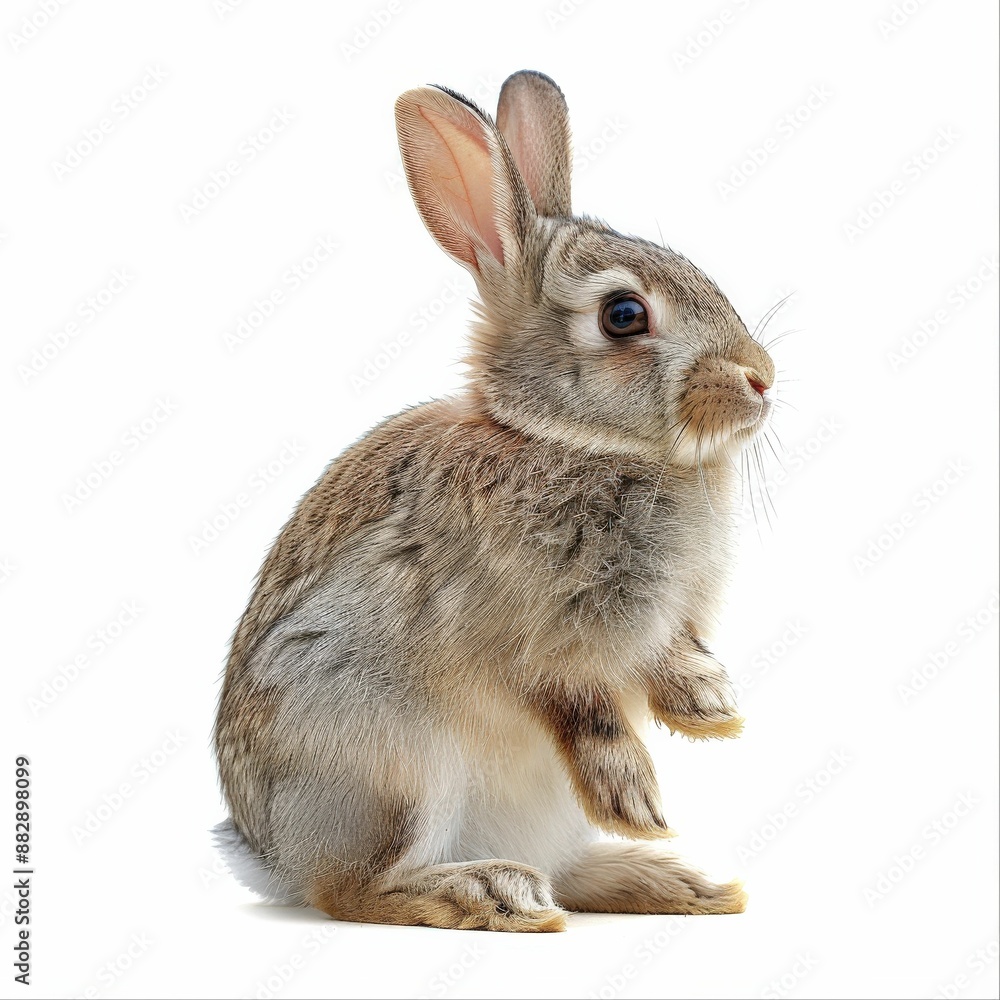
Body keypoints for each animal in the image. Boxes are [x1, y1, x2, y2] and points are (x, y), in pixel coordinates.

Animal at [213, 69, 776, 932]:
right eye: (624, 315)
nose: (761, 378)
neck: (572, 439)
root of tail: (274, 857)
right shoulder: (528, 631)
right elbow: (580, 707)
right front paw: (636, 797)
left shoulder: (666, 620)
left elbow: (672, 657)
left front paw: (711, 710)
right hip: (393, 767)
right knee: (353, 890)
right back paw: (492, 890)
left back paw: (672, 883)